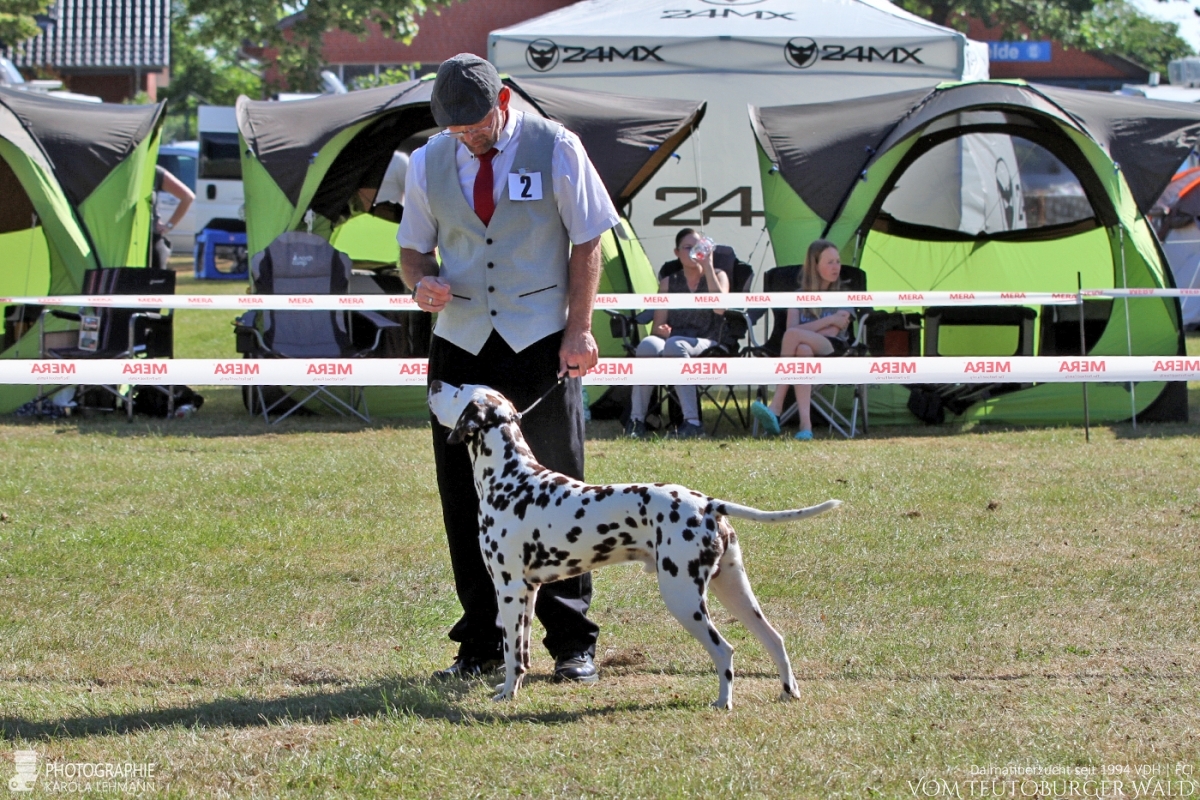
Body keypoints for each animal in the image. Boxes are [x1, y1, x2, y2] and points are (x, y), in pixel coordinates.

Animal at [427, 383, 840, 710]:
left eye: (459, 390)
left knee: (725, 650)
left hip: (683, 597)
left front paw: (506, 696)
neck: (512, 478)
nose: (434, 382)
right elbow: (522, 652)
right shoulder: (528, 592)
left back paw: (723, 702)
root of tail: (709, 504)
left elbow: (512, 652)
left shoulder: (510, 588)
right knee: (774, 638)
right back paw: (788, 691)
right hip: (735, 591)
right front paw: (511, 688)